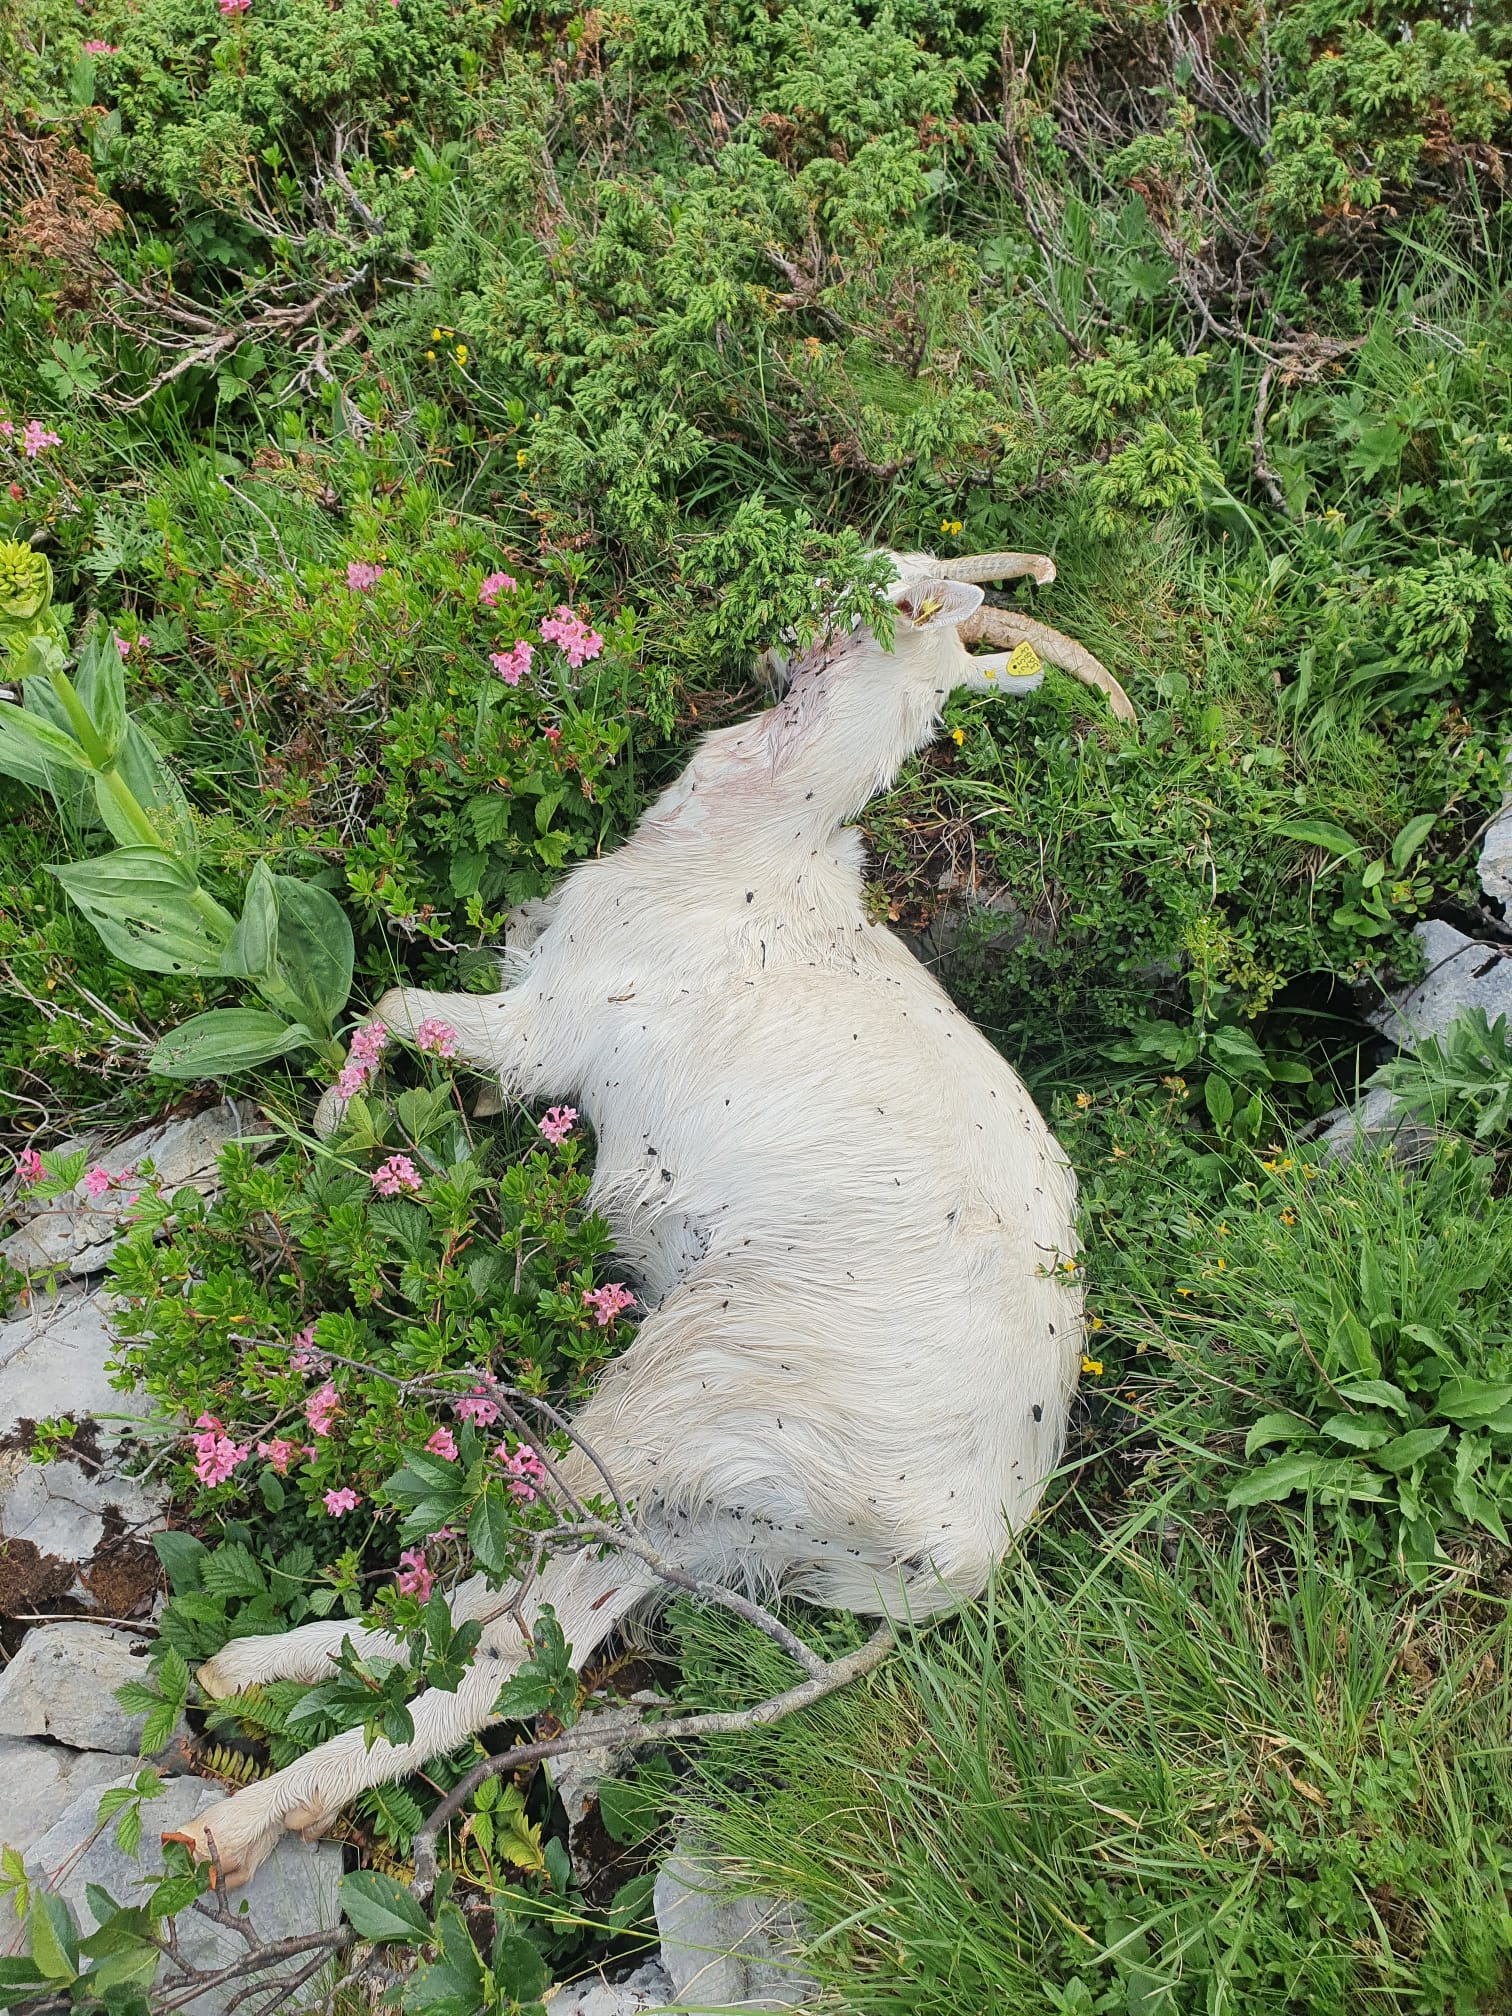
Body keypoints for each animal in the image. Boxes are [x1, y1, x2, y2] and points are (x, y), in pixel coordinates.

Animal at [168, 549, 1120, 1886]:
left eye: (877, 590)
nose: (778, 615)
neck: (758, 844)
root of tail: (960, 1548)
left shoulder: (551, 1030)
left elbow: (394, 1008)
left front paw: (331, 1133)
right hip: (728, 1519)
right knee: (538, 1636)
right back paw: (254, 1722)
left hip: (690, 1391)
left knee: (508, 1612)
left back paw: (243, 1777)